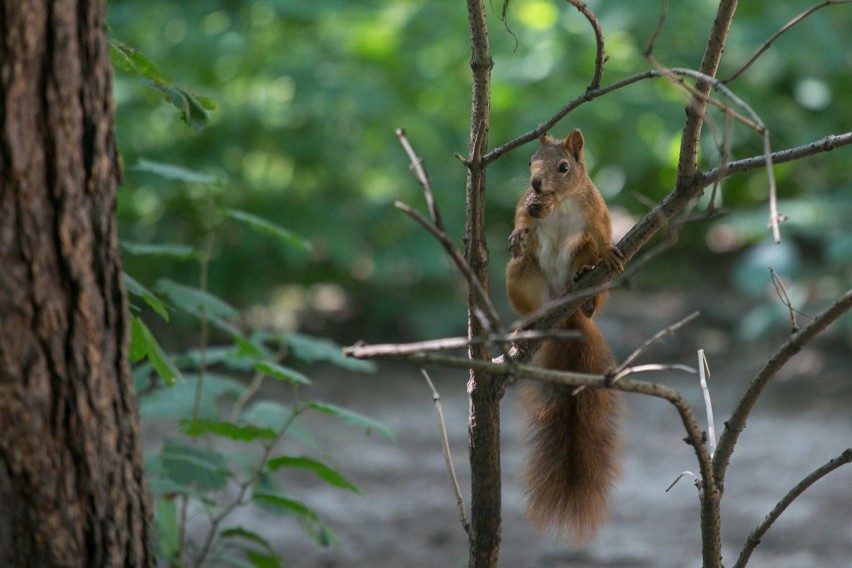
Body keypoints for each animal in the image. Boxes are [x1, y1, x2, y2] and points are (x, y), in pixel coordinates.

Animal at [506, 129, 624, 540]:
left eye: (563, 167)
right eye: (529, 162)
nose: (536, 184)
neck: (561, 203)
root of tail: (565, 310)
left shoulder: (596, 209)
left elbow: (603, 232)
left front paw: (611, 253)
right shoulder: (526, 209)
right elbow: (521, 216)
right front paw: (518, 233)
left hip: (585, 268)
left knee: (587, 256)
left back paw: (586, 295)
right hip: (521, 278)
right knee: (523, 273)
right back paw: (526, 327)